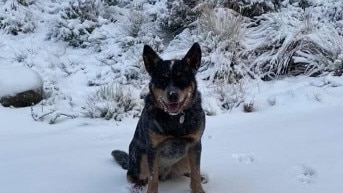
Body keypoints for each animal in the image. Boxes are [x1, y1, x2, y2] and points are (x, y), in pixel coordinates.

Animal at [111, 42, 206, 193]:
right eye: (162, 79)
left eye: (182, 78)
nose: (172, 95)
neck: (175, 120)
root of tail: (166, 174)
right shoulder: (152, 148)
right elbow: (152, 178)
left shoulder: (195, 144)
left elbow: (195, 173)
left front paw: (198, 188)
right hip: (139, 156)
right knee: (132, 175)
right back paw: (137, 186)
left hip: (184, 158)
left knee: (189, 171)